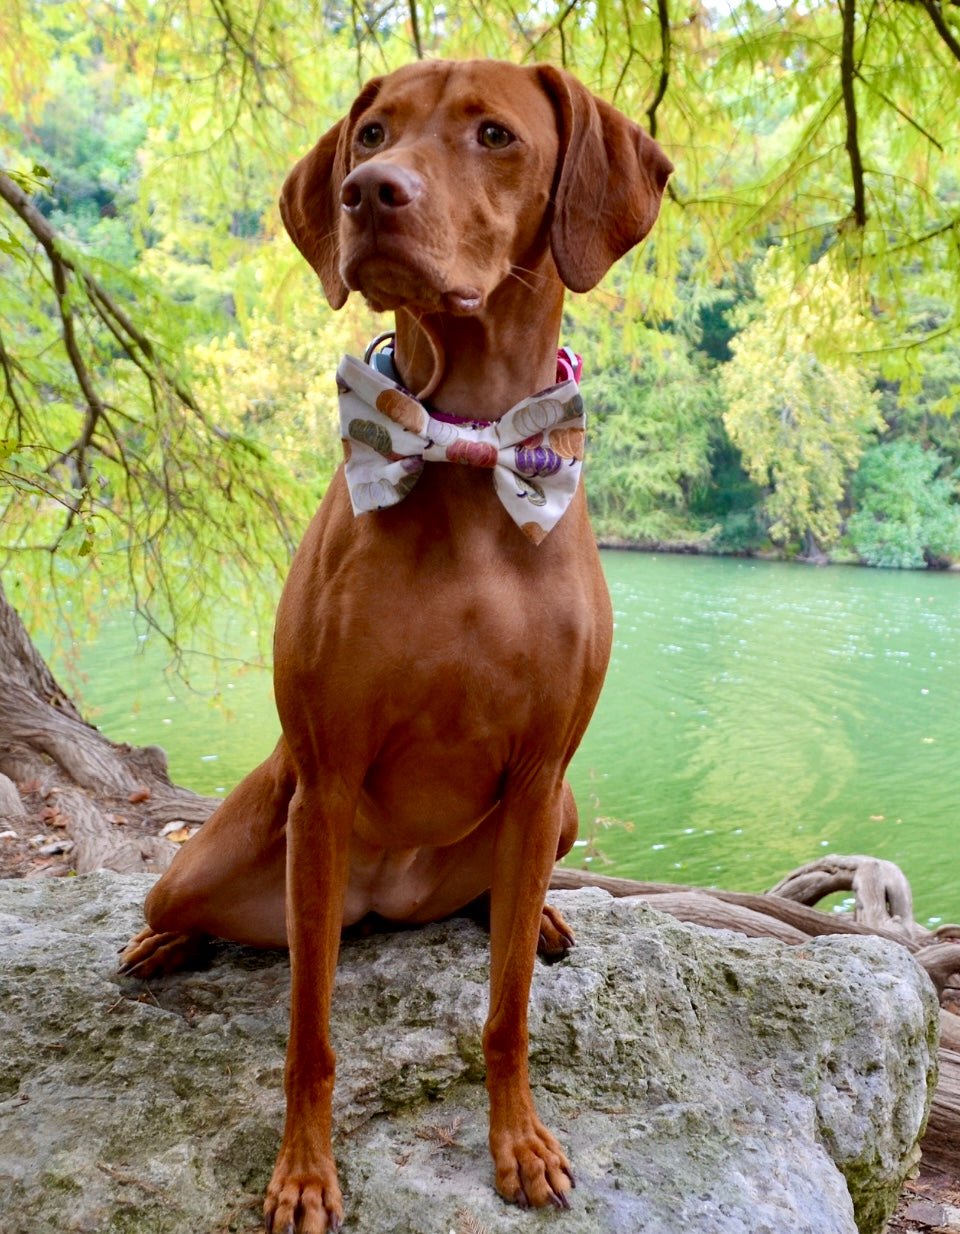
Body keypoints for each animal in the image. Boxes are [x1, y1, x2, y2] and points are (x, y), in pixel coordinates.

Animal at [119, 57, 671, 1234]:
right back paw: (167, 941)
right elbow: (310, 1034)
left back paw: (538, 919)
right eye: (372, 131)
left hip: (554, 812)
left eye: (495, 135)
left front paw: (520, 1144)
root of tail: (389, 897)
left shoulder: (541, 772)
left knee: (503, 906)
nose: (367, 191)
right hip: (229, 860)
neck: (466, 448)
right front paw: (303, 1173)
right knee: (203, 912)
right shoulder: (324, 782)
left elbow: (506, 1015)